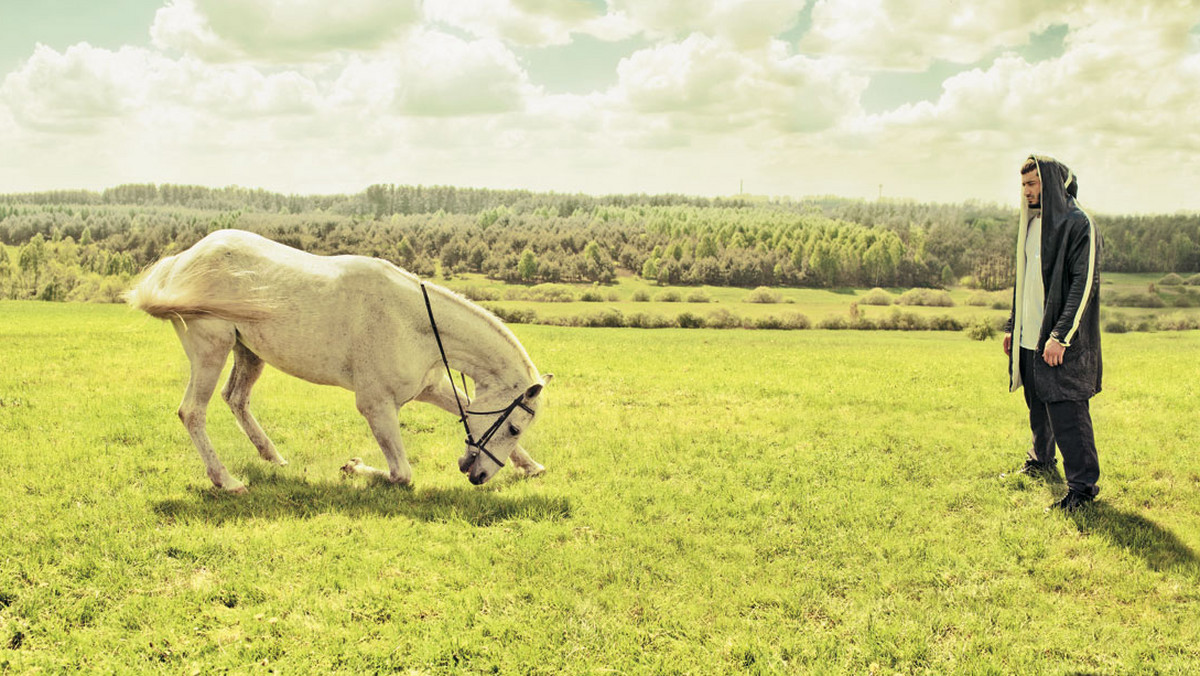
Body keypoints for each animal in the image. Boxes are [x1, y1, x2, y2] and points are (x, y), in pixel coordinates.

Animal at [123, 229, 552, 492]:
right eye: (515, 427)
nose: (477, 474)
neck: (413, 321)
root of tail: (183, 259)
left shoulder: (428, 387)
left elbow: (462, 405)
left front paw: (531, 466)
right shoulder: (376, 406)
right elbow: (401, 473)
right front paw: (353, 466)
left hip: (248, 351)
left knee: (236, 398)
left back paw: (273, 457)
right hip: (211, 348)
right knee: (192, 412)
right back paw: (226, 481)